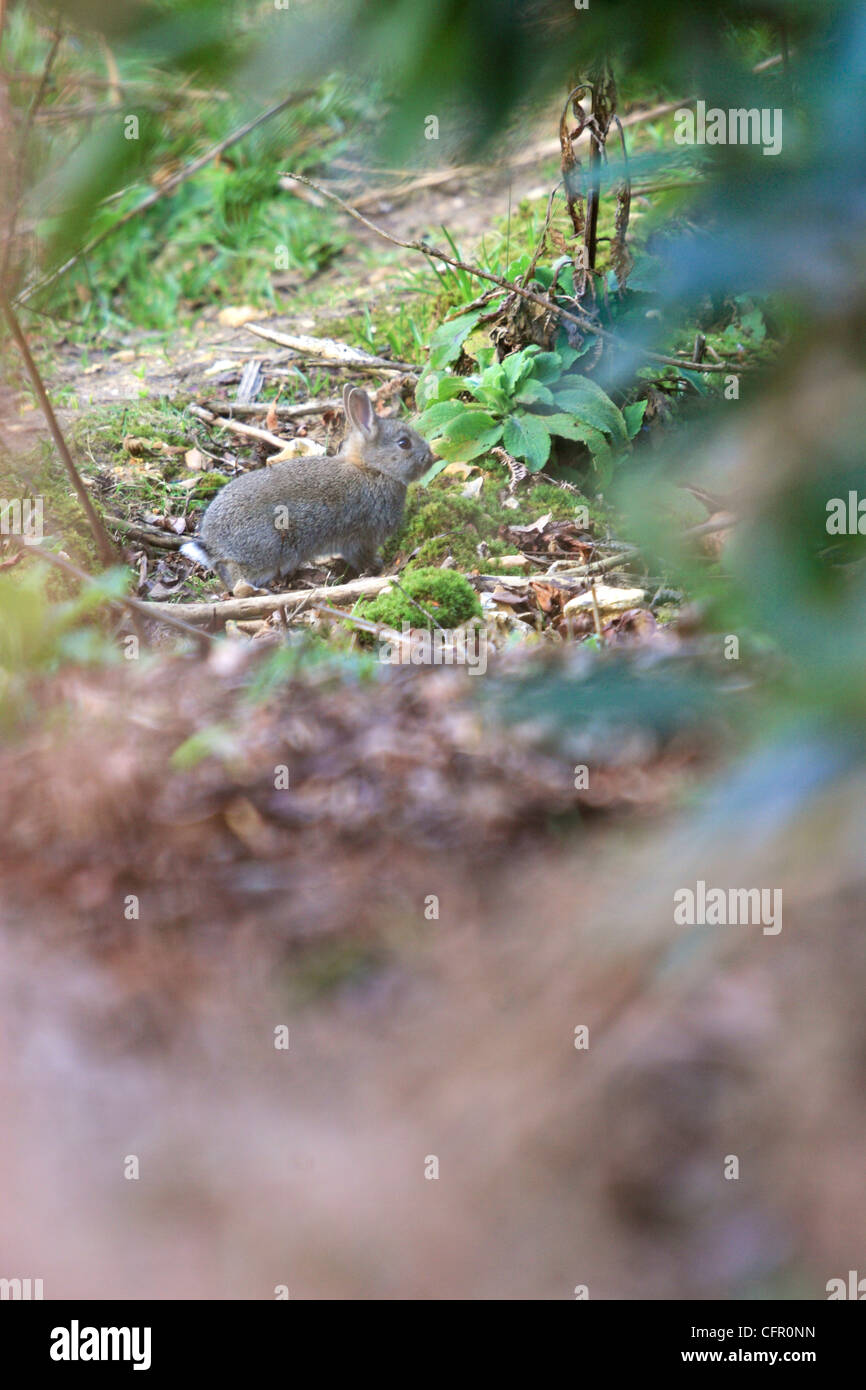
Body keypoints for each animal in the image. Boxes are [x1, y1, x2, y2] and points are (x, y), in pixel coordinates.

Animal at [184, 383, 436, 594]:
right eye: (404, 443)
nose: (430, 457)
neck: (373, 469)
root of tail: (212, 544)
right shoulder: (361, 537)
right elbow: (360, 556)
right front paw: (377, 567)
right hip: (264, 550)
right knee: (236, 579)